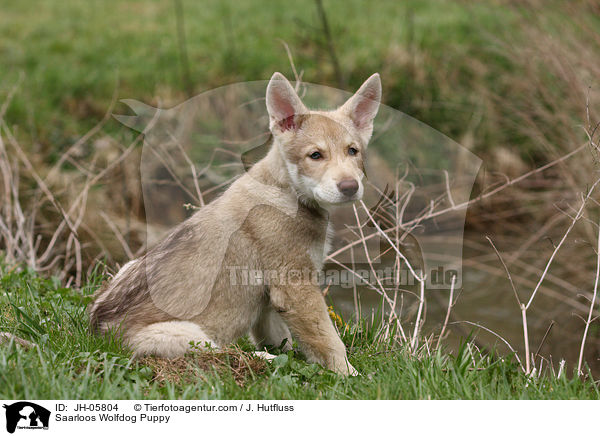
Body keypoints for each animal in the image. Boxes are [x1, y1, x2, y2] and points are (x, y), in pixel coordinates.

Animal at [89, 71, 380, 374]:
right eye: (315, 155)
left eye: (353, 151)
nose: (350, 187)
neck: (286, 190)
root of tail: (97, 332)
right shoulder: (295, 288)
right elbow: (330, 343)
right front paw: (349, 375)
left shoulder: (269, 300)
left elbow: (280, 337)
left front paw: (293, 357)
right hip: (188, 335)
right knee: (222, 353)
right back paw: (266, 360)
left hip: (126, 268)